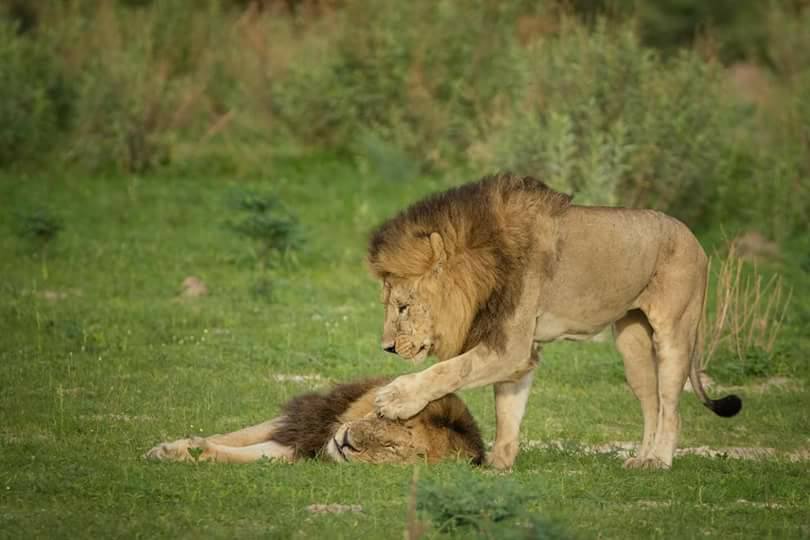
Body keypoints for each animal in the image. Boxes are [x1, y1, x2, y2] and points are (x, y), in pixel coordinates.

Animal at [366, 172, 740, 468]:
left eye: (402, 307)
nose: (386, 348)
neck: (484, 266)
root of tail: (694, 239)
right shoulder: (519, 351)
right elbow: (507, 409)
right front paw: (498, 464)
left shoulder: (510, 346)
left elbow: (450, 370)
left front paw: (395, 399)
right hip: (632, 342)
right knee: (652, 403)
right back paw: (641, 459)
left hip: (674, 333)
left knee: (671, 408)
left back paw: (659, 461)